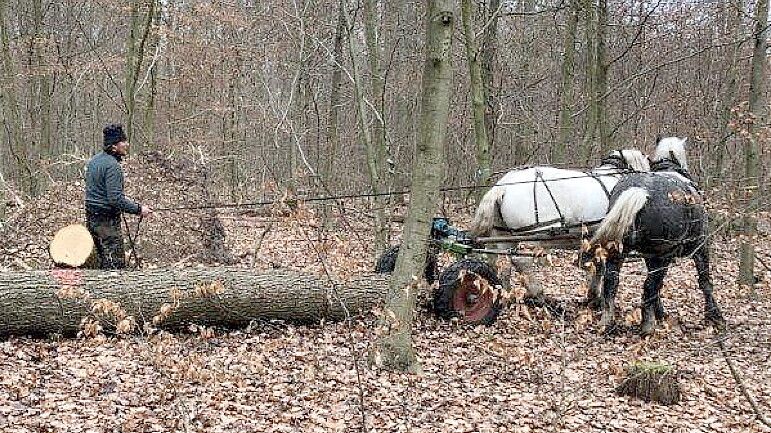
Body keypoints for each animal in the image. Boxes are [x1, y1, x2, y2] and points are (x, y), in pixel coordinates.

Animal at [469, 148, 651, 307]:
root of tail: (503, 186)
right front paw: (596, 297)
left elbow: (596, 265)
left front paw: (593, 296)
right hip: (537, 237)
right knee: (521, 261)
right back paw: (538, 292)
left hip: (505, 236)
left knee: (502, 263)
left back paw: (506, 295)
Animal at [585, 136, 724, 335]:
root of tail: (641, 191)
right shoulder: (700, 247)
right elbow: (704, 280)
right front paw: (714, 315)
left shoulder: (647, 256)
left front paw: (660, 312)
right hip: (662, 254)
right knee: (649, 286)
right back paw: (647, 326)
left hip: (619, 250)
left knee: (612, 281)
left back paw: (608, 321)